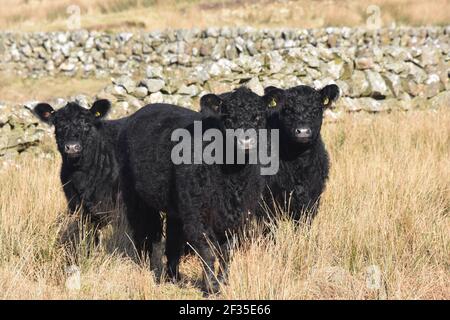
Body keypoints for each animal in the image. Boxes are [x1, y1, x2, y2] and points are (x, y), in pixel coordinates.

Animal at [117, 87, 270, 290]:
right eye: (228, 118)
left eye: (259, 116)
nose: (246, 141)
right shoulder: (197, 215)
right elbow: (208, 252)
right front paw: (211, 287)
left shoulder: (238, 216)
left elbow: (227, 252)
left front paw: (223, 283)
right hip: (136, 197)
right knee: (145, 235)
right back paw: (148, 270)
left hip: (176, 207)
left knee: (173, 241)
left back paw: (173, 277)